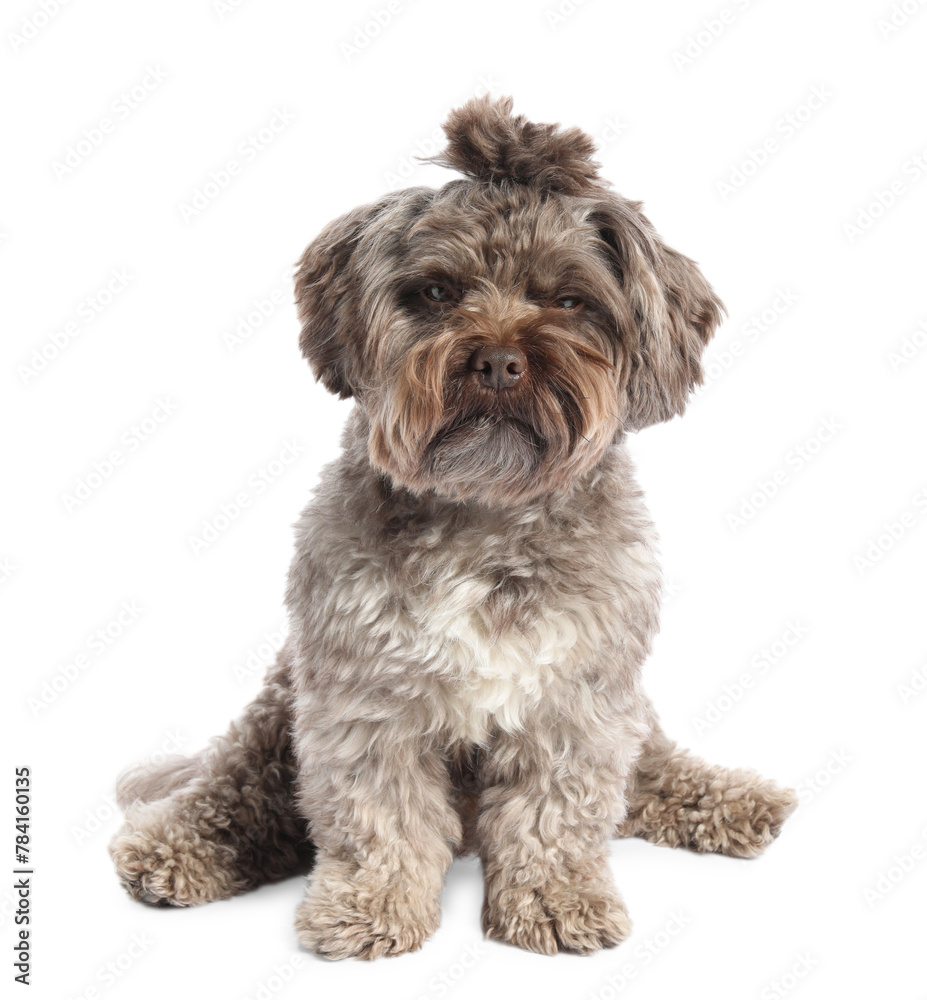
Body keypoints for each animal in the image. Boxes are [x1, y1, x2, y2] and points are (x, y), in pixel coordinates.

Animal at [112, 97, 796, 956]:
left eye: (567, 300)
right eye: (437, 291)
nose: (499, 361)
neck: (483, 508)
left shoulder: (577, 699)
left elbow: (555, 813)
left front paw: (554, 901)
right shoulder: (363, 696)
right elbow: (378, 815)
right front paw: (369, 906)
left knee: (649, 768)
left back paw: (736, 800)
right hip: (276, 709)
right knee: (238, 792)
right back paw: (174, 848)